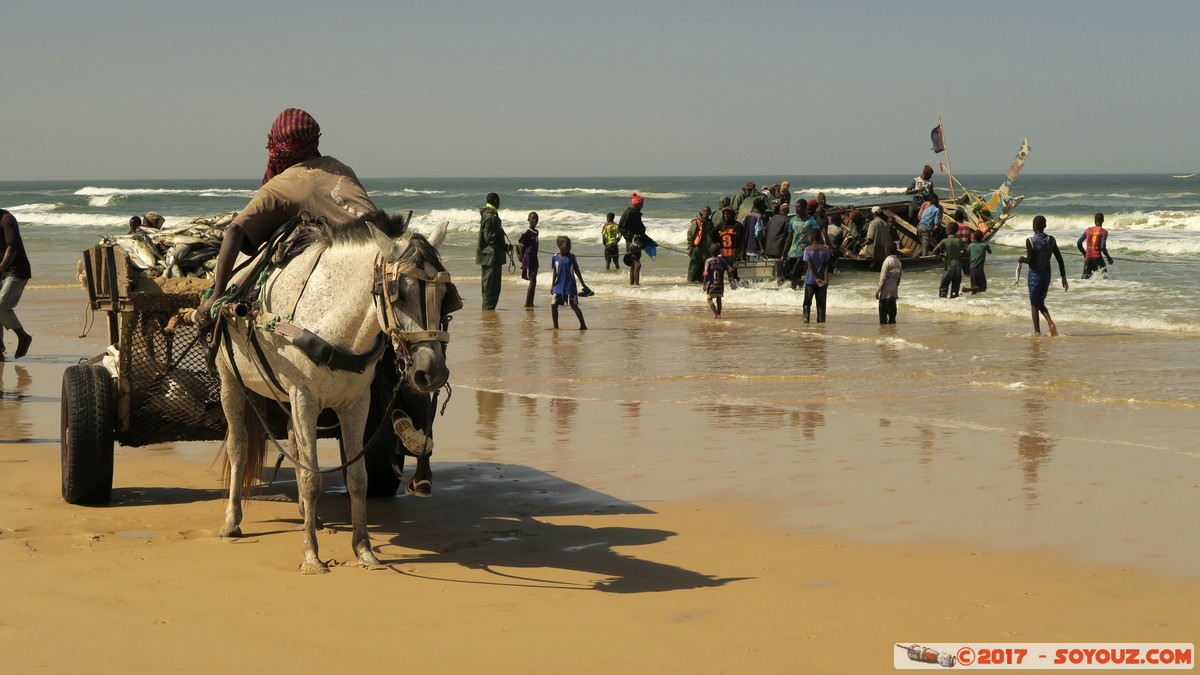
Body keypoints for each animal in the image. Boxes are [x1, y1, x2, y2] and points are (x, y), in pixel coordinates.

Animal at [211, 212, 453, 569]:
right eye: (399, 293)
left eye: (445, 293)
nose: (431, 371)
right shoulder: (304, 397)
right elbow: (312, 479)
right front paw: (311, 556)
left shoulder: (356, 403)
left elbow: (357, 477)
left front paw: (364, 550)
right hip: (231, 381)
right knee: (239, 449)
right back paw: (232, 521)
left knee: (295, 444)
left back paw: (307, 516)